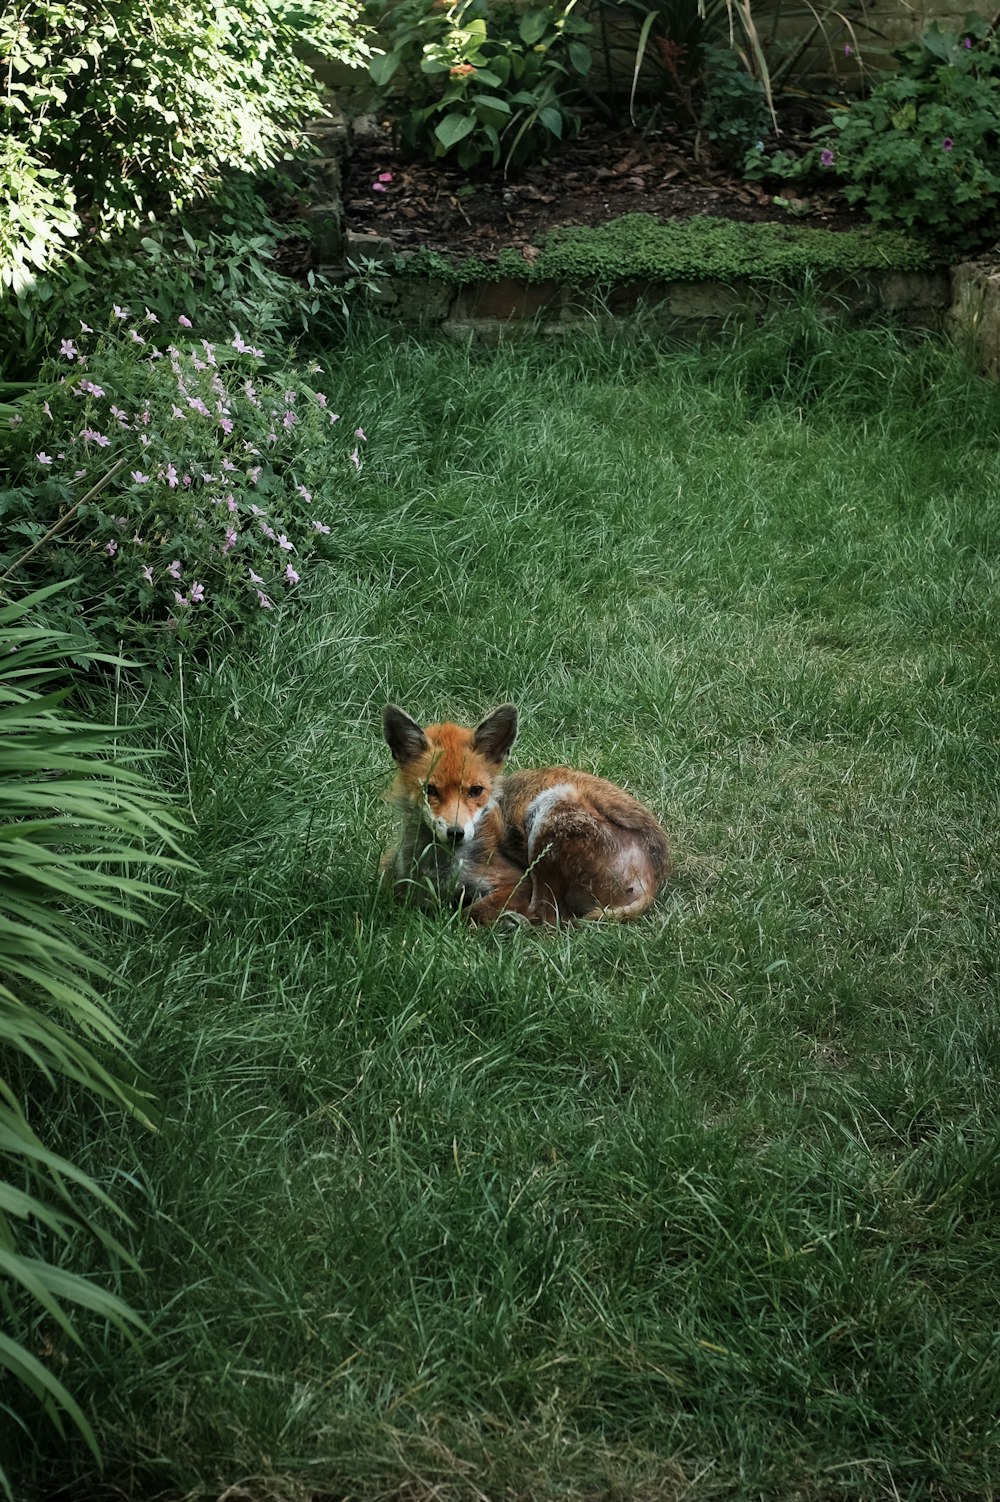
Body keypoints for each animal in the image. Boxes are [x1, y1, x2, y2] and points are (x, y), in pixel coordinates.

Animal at [381, 702, 669, 925]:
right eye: (430, 790)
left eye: (476, 791)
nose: (455, 833)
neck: (440, 869)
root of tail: (656, 873)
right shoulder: (396, 878)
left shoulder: (517, 882)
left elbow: (470, 912)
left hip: (548, 812)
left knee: (550, 918)